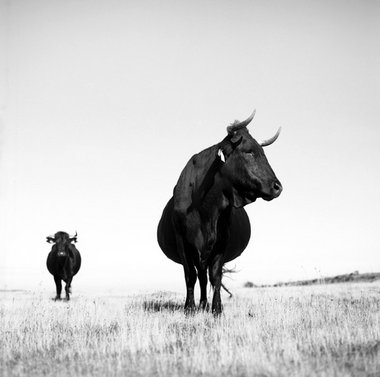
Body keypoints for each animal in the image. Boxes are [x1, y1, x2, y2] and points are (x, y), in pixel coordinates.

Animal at [157, 110, 282, 312]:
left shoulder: (221, 241)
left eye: (263, 152)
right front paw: (189, 308)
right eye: (248, 151)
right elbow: (190, 276)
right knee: (199, 276)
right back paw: (200, 304)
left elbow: (215, 276)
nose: (277, 187)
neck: (204, 206)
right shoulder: (182, 242)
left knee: (205, 276)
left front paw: (216, 309)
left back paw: (204, 304)